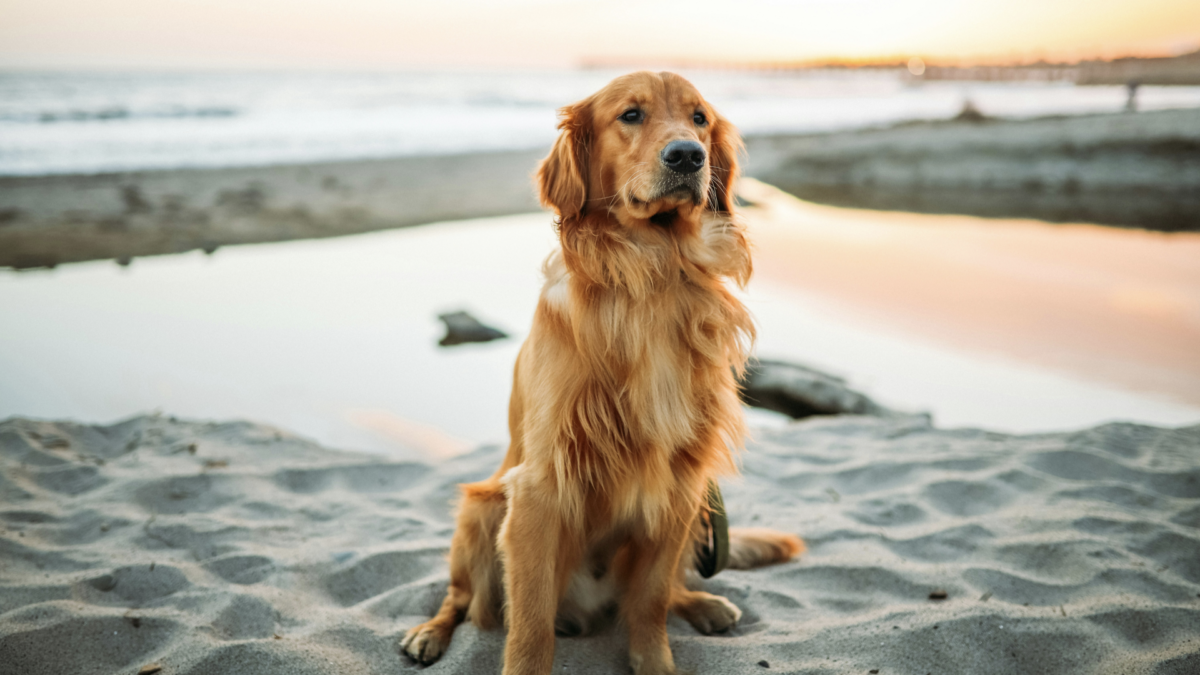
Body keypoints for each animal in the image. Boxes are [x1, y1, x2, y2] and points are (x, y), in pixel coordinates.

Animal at [403, 70, 806, 667]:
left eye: (700, 119)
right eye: (630, 115)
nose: (687, 155)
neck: (653, 273)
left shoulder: (681, 482)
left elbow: (650, 603)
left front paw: (657, 663)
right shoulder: (540, 488)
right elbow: (529, 626)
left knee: (665, 590)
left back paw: (704, 603)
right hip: (480, 510)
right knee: (459, 599)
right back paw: (429, 633)